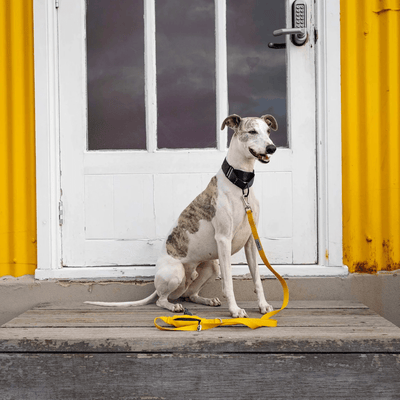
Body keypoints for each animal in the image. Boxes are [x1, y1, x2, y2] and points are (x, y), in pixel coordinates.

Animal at [85, 114, 276, 318]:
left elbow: (257, 279)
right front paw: (235, 310)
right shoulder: (223, 239)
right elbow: (228, 283)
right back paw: (174, 307)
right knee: (161, 300)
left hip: (211, 267)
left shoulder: (251, 241)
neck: (241, 186)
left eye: (268, 131)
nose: (272, 148)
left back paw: (207, 300)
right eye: (252, 131)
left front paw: (263, 306)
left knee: (189, 294)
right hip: (175, 273)